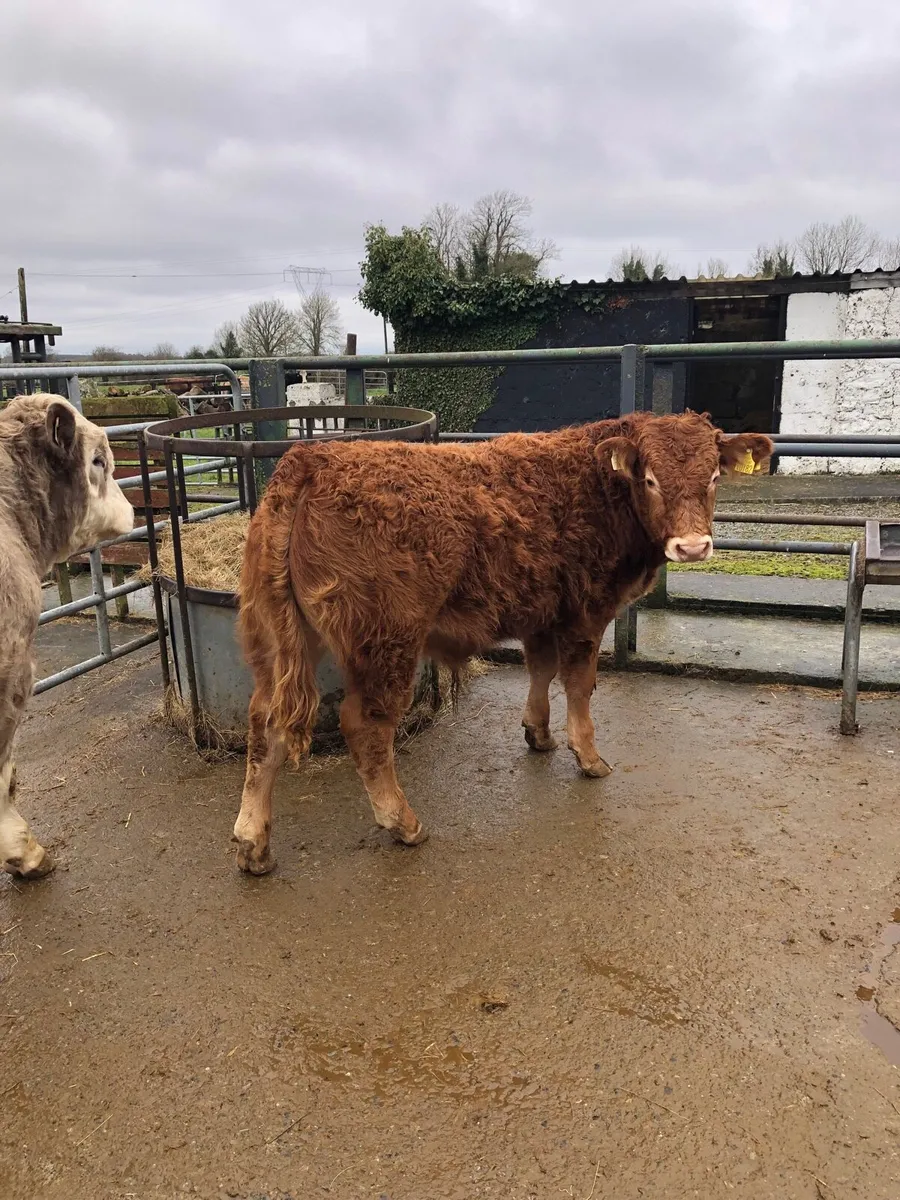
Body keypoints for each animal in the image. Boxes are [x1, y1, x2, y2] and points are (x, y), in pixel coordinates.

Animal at [233, 410, 773, 874]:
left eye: (714, 477)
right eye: (651, 479)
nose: (693, 546)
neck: (597, 488)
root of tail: (311, 459)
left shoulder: (542, 612)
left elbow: (541, 670)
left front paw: (538, 733)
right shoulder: (587, 612)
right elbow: (580, 684)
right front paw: (589, 757)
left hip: (280, 640)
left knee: (265, 722)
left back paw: (253, 843)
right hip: (386, 641)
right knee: (364, 725)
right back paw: (403, 823)